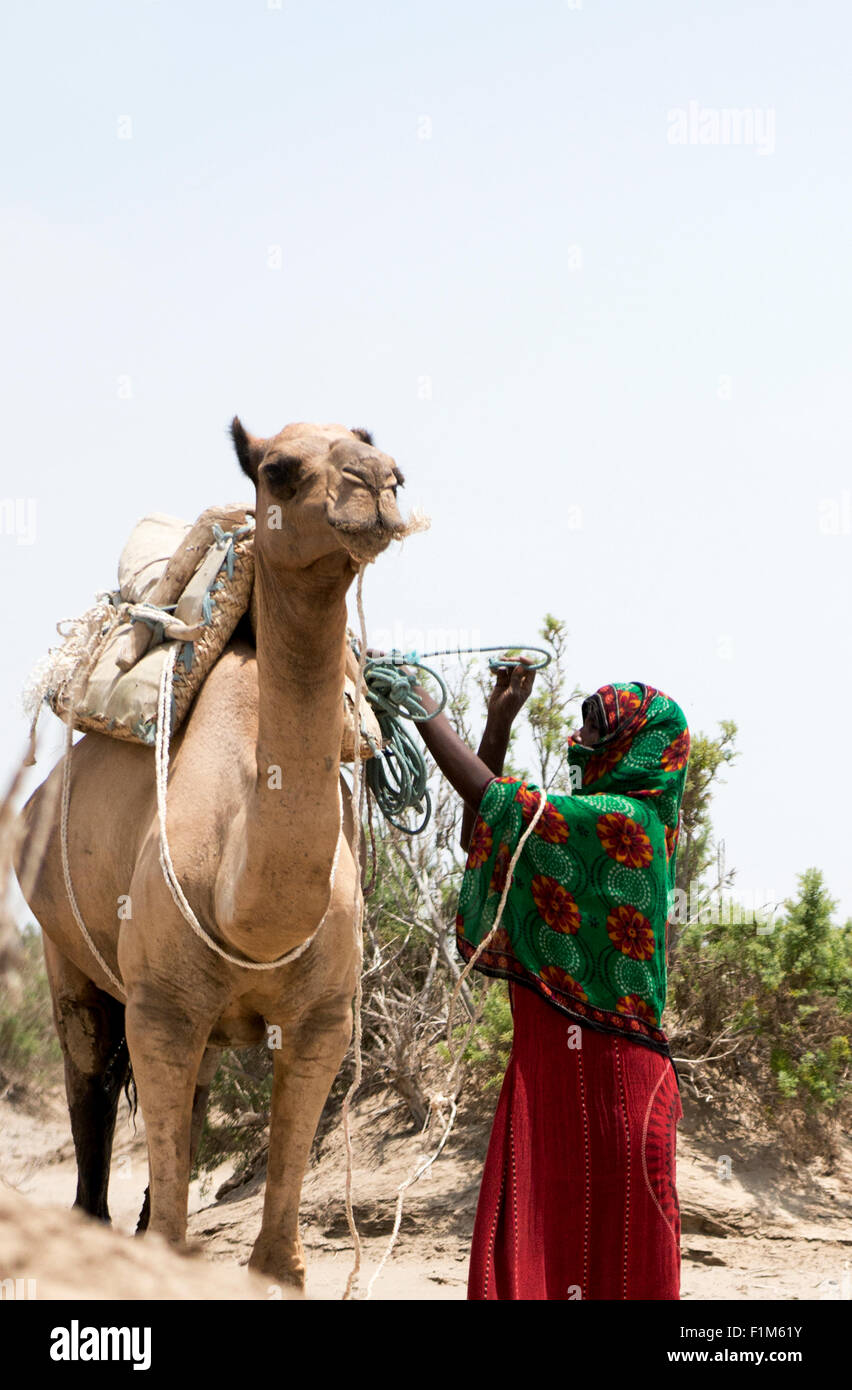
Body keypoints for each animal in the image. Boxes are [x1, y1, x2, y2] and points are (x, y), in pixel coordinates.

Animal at [14, 417, 408, 1284]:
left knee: (187, 1102)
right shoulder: (161, 1003)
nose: (378, 483)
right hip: (69, 955)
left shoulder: (325, 1019)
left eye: (377, 448)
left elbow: (278, 1256)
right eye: (279, 467)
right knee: (89, 1077)